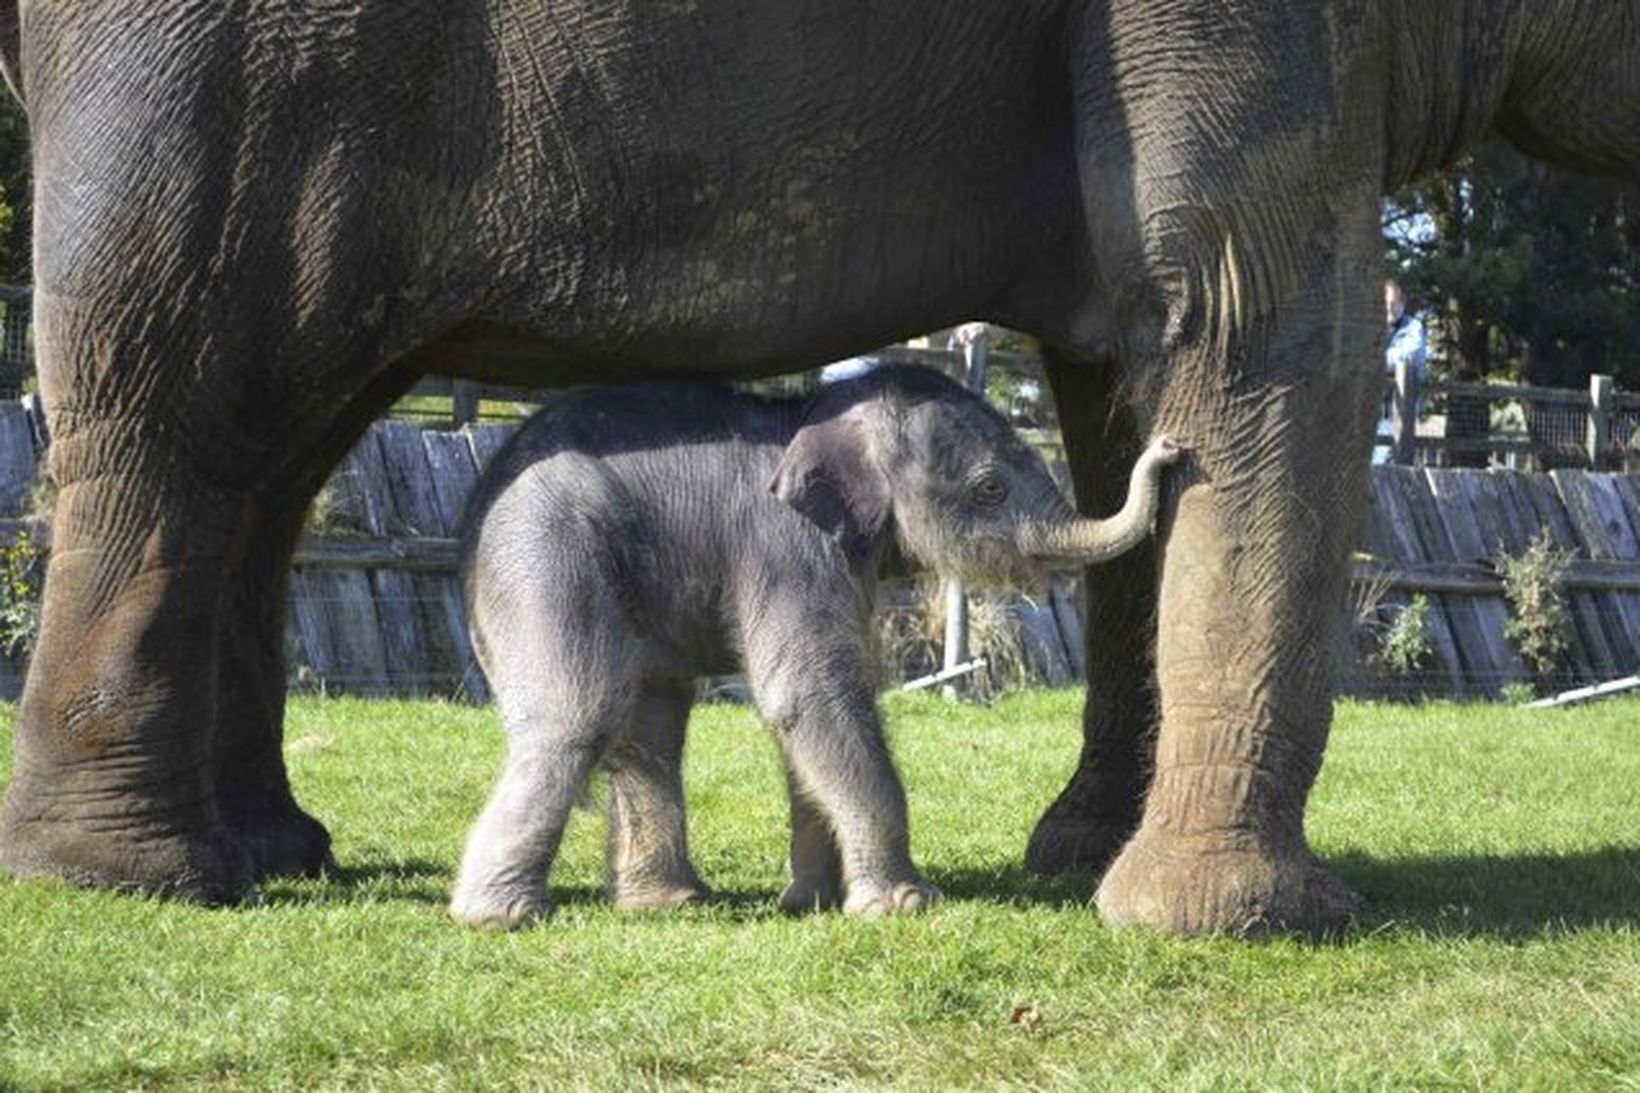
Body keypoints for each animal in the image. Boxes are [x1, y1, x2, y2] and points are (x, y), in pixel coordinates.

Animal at [452, 365, 1180, 925]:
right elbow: (808, 694)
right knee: (578, 713)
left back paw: (669, 902)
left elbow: (817, 707)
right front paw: (903, 904)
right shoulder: (787, 544)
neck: (817, 413)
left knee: (652, 722)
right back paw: (499, 916)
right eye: (989, 487)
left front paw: (813, 902)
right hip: (544, 552)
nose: (1170, 449)